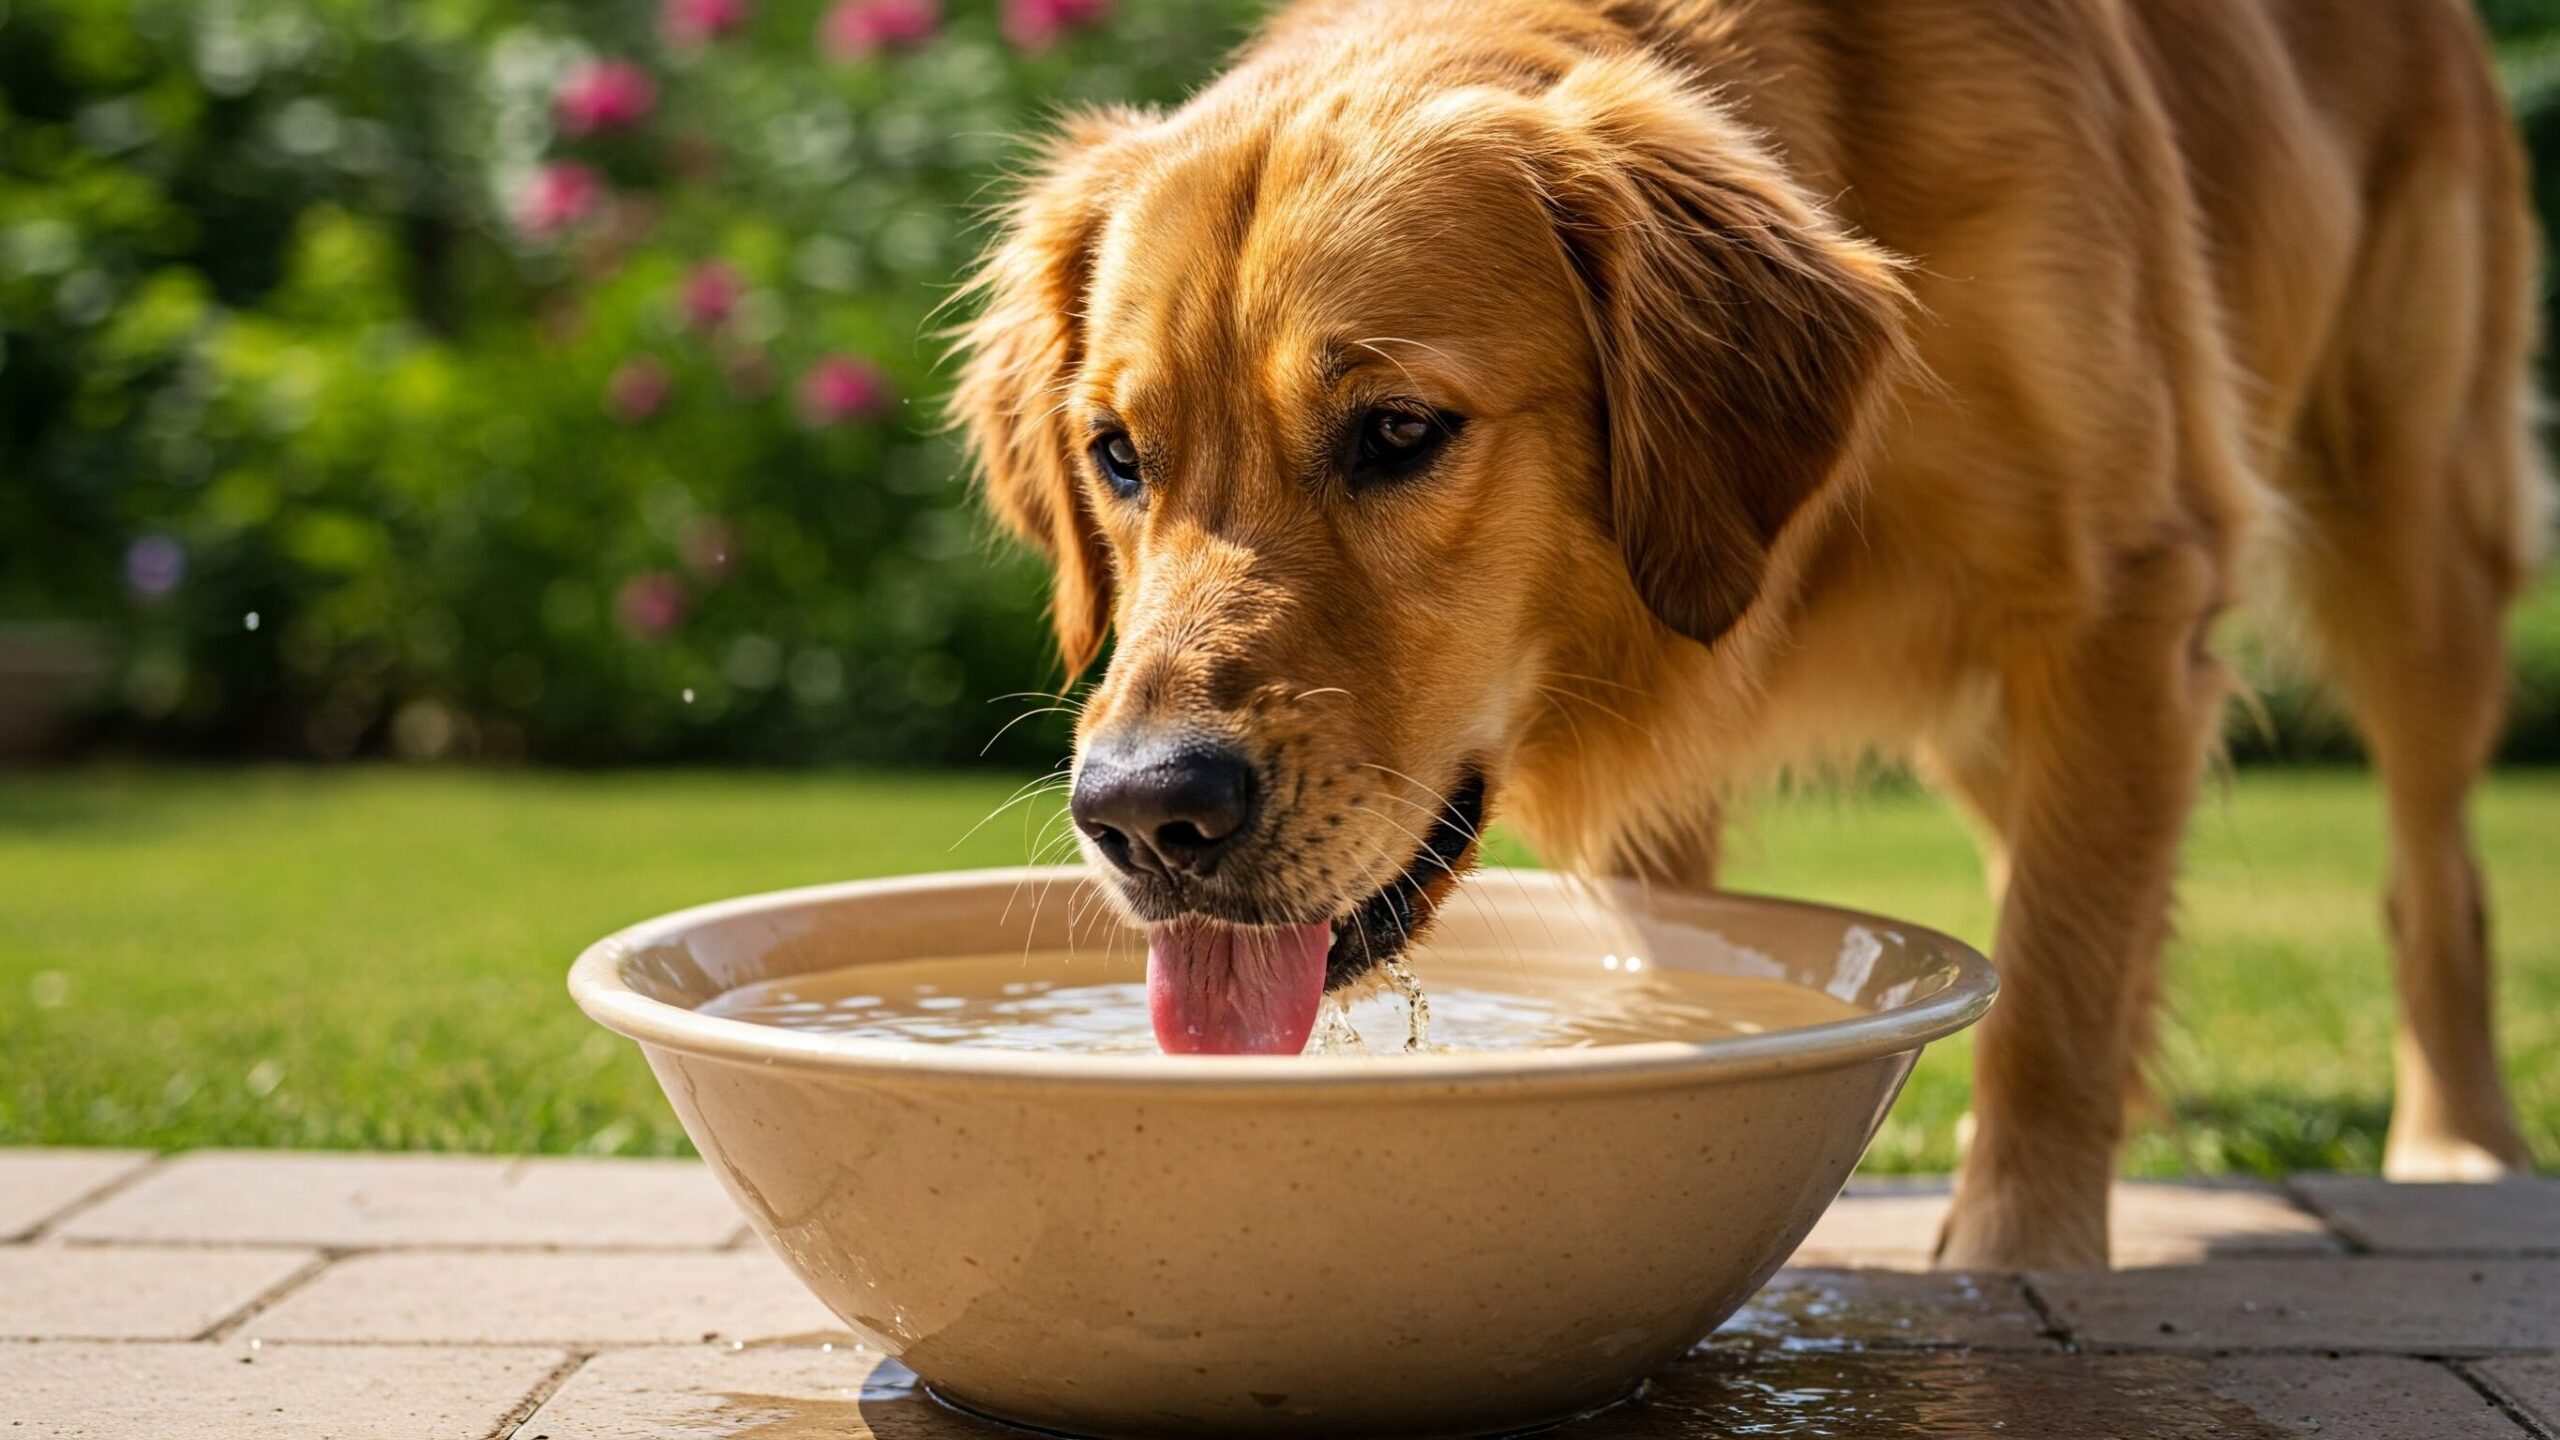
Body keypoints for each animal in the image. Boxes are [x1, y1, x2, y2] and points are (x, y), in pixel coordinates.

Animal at [952, 0, 2549, 1260]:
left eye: (1397, 431)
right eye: (1117, 455)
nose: (1146, 814)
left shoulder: (2128, 595)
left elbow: (2057, 987)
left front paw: (2020, 1261)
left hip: (2411, 531)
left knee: (2432, 875)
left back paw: (2460, 1142)